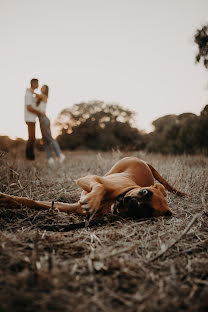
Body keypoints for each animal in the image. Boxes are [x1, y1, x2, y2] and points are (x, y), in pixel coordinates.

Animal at [0, 157, 185, 218]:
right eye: (145, 192)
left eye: (148, 211)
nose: (131, 203)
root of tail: (145, 161)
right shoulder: (89, 179)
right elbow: (99, 186)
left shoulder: (70, 207)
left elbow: (34, 203)